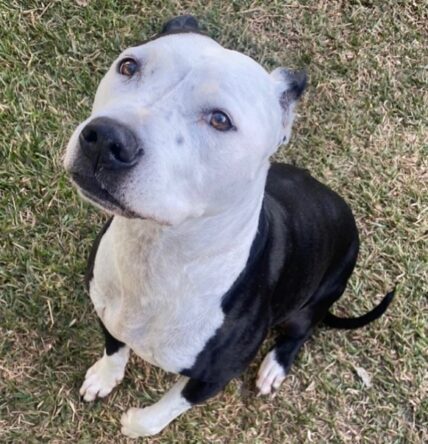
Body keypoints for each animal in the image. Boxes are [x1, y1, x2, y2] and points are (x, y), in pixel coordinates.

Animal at [63, 16, 394, 438]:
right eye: (129, 66)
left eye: (220, 120)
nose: (105, 139)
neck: (155, 252)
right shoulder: (109, 314)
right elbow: (114, 349)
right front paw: (104, 377)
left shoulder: (214, 377)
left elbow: (166, 409)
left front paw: (137, 425)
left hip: (319, 296)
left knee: (300, 332)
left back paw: (274, 367)